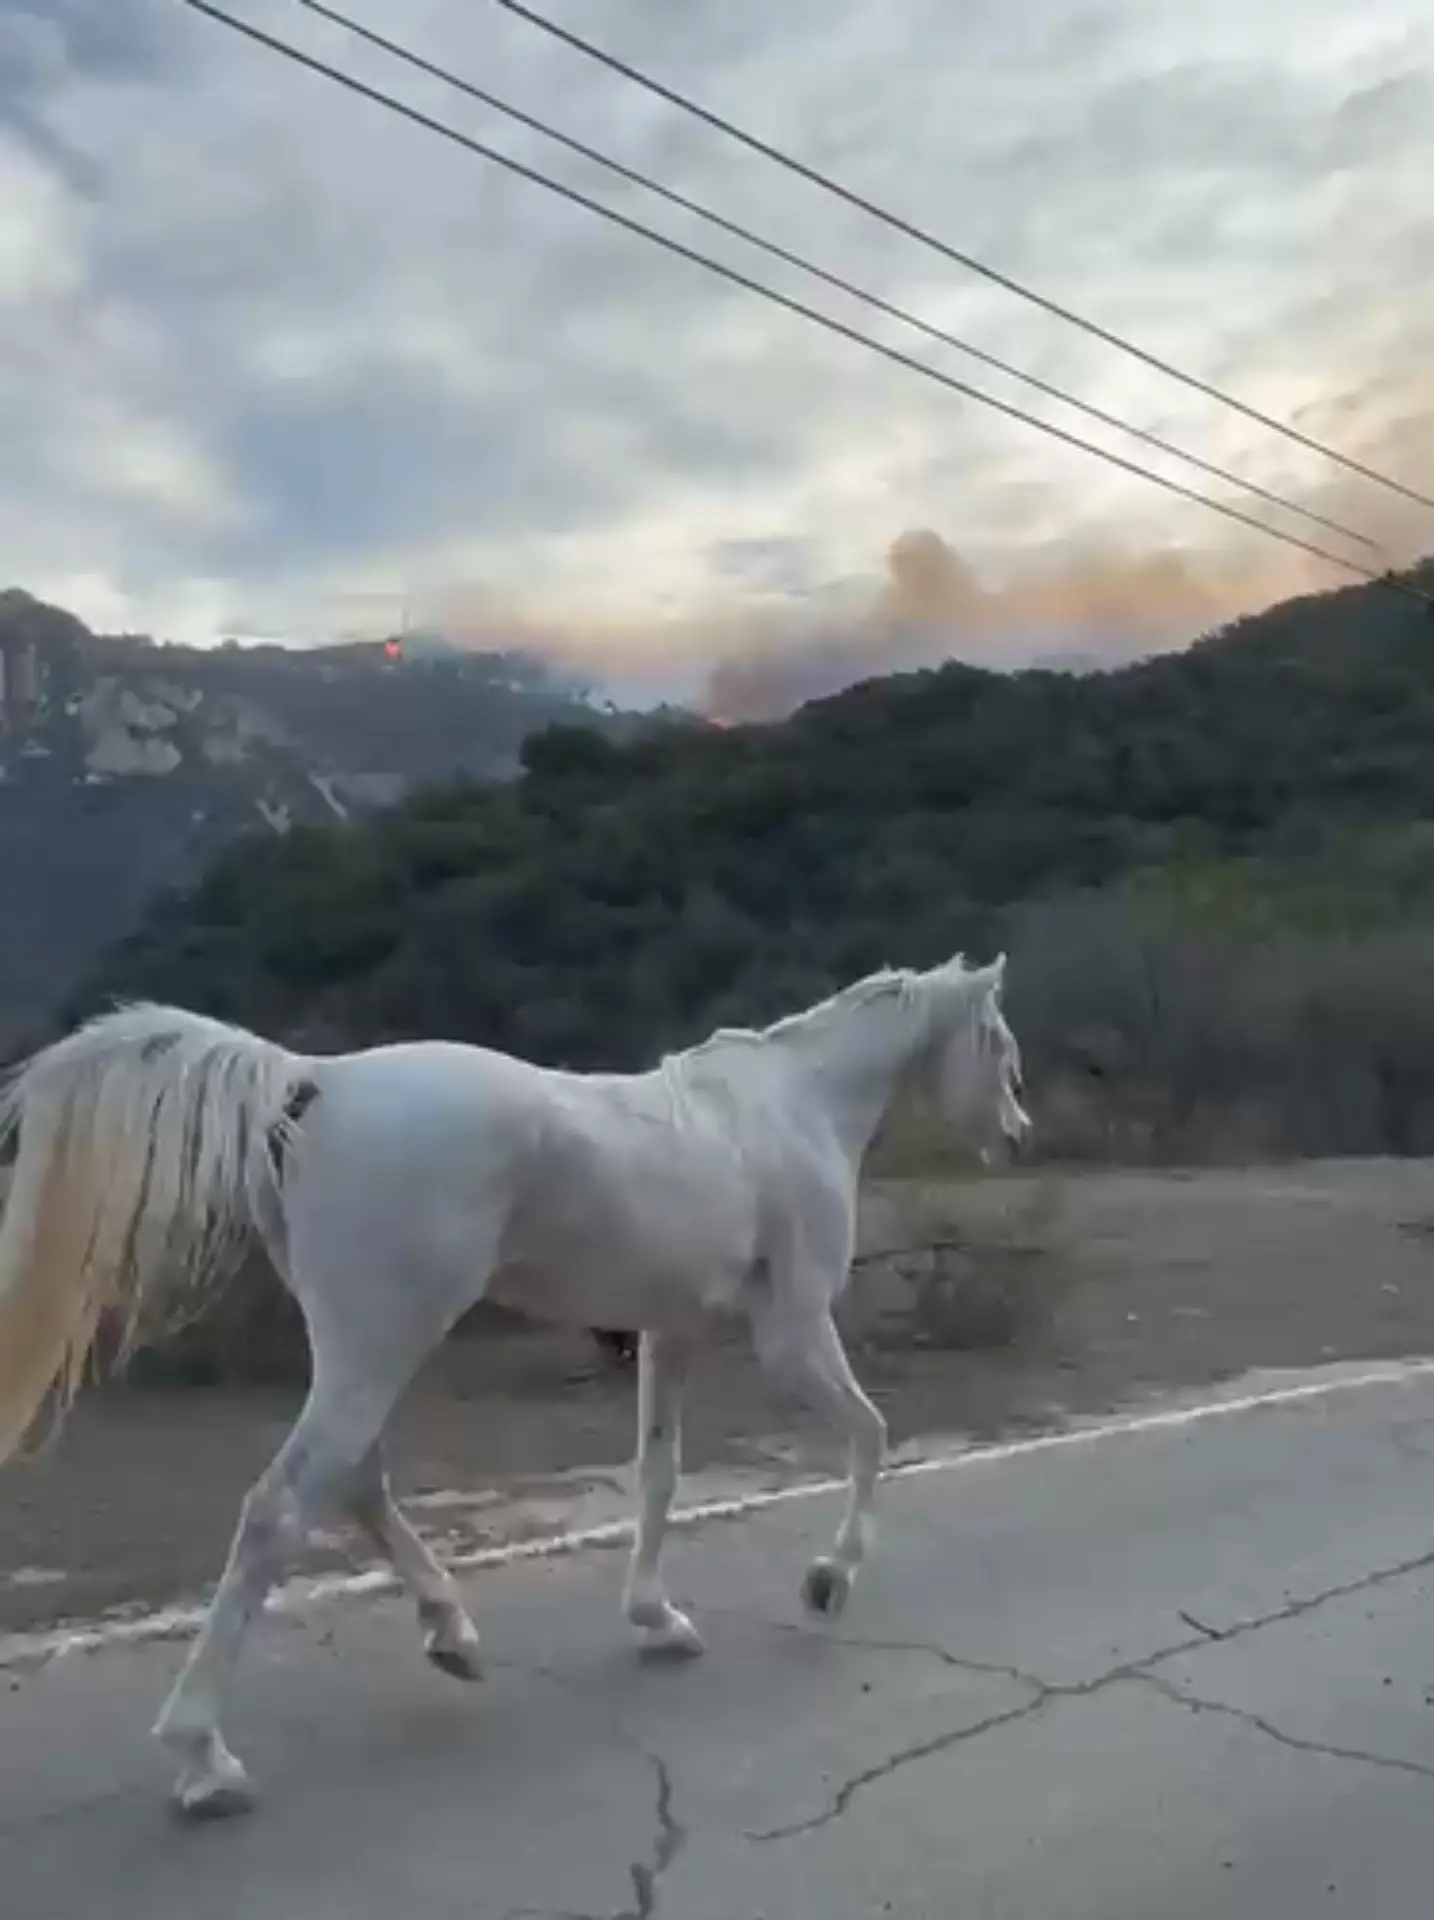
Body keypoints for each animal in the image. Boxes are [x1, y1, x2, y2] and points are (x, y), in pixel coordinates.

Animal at [0, 956, 1028, 1812]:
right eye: (1000, 1043)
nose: (1016, 1136)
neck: (792, 1104)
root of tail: (312, 1081)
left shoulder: (668, 1335)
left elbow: (660, 1476)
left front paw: (660, 1619)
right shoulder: (794, 1332)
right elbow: (871, 1434)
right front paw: (827, 1579)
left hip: (360, 1348)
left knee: (355, 1483)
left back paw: (451, 1635)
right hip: (383, 1342)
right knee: (279, 1510)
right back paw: (204, 1755)